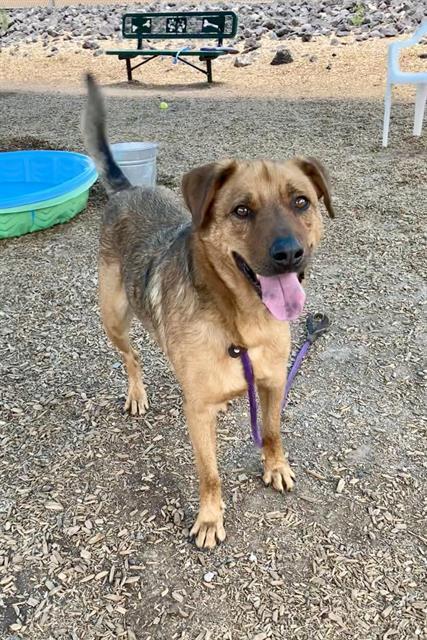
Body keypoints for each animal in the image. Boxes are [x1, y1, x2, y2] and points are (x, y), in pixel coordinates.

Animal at [83, 74, 336, 544]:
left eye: (301, 202)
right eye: (242, 210)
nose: (289, 254)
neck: (242, 323)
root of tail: (130, 189)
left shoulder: (274, 385)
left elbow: (272, 431)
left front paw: (275, 466)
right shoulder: (197, 413)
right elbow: (210, 474)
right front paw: (209, 518)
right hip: (113, 318)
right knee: (132, 357)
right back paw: (137, 393)